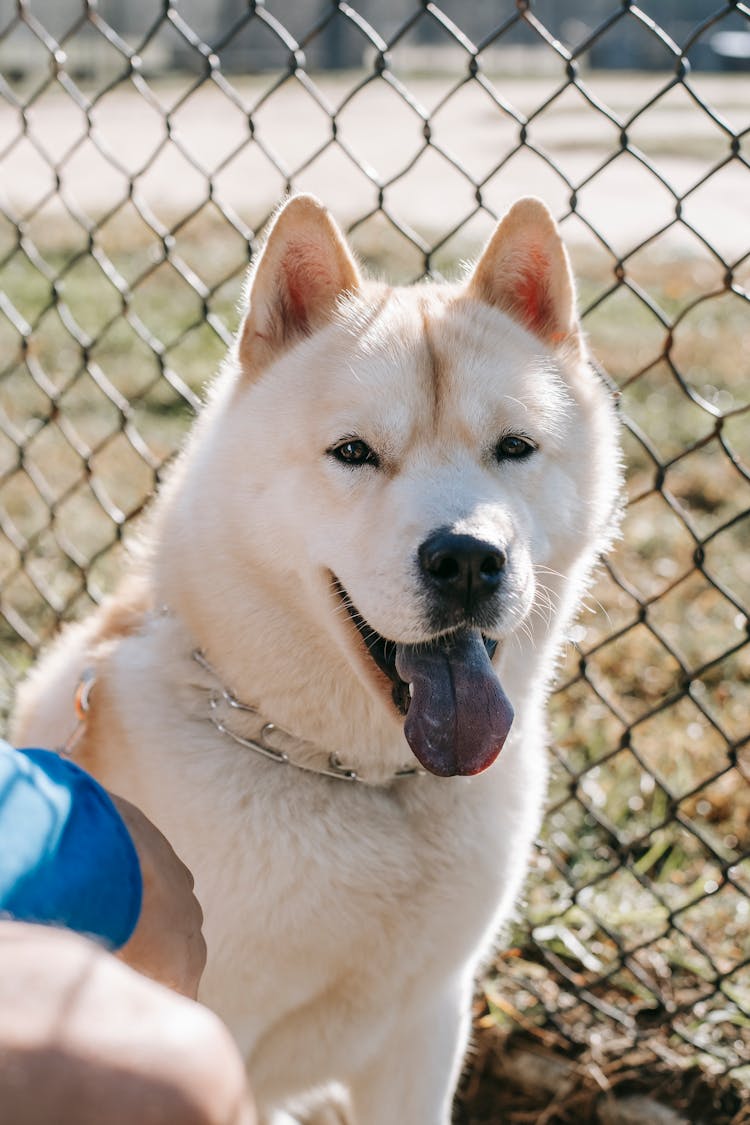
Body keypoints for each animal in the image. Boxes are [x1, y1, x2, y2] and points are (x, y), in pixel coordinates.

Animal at [11, 198, 620, 1120]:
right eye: (355, 452)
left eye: (513, 447)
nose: (467, 559)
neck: (362, 781)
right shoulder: (209, 1035)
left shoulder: (424, 1032)